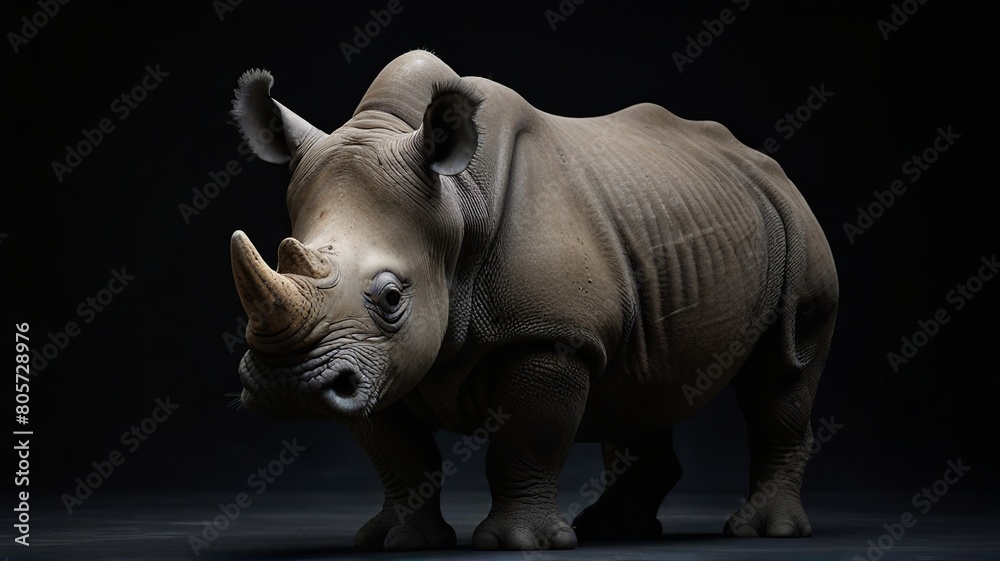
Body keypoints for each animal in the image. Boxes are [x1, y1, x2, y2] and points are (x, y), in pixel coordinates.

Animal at [228, 50, 838, 550]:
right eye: (282, 259)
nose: (287, 387)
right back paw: (615, 529)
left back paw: (766, 531)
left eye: (392, 296)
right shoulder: (366, 359)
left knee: (782, 372)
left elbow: (526, 440)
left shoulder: (551, 336)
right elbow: (400, 454)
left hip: (799, 229)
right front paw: (395, 541)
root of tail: (763, 164)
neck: (455, 211)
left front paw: (519, 543)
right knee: (644, 381)